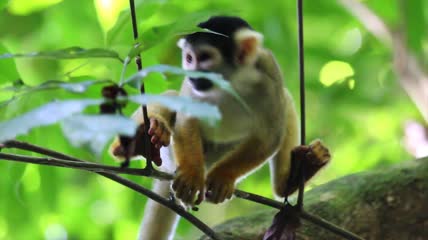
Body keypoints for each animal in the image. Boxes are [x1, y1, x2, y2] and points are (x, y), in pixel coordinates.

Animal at [108, 15, 330, 239]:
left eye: (205, 57)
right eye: (189, 58)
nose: (193, 74)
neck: (233, 81)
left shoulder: (268, 73)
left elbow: (270, 135)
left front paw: (224, 177)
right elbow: (187, 118)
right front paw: (191, 175)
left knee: (285, 100)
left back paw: (294, 177)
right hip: (172, 156)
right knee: (172, 97)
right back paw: (142, 140)